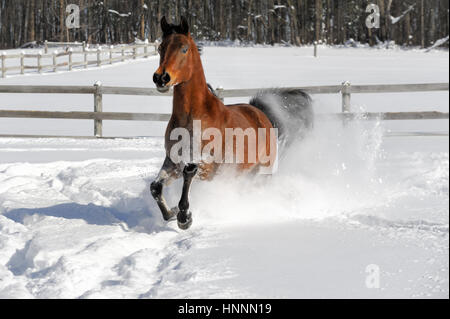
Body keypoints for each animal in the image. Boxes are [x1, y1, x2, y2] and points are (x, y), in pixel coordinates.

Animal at [151, 16, 312, 230]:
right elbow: (155, 187)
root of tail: (261, 113)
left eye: (183, 48)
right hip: (244, 173)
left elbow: (189, 172)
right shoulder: (172, 161)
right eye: (161, 47)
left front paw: (185, 217)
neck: (192, 117)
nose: (161, 78)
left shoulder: (208, 168)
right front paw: (171, 212)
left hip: (264, 171)